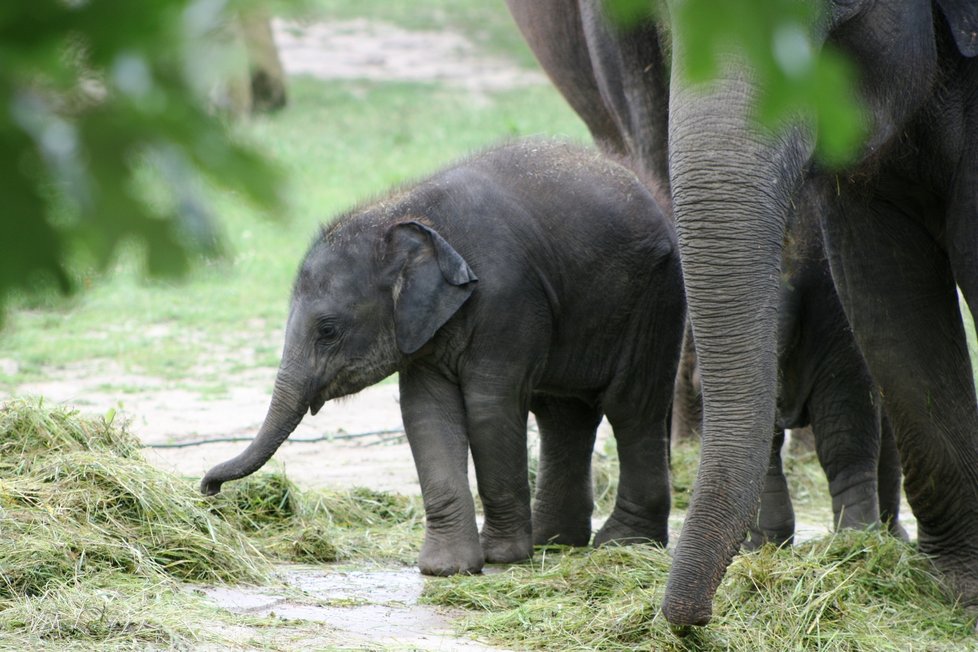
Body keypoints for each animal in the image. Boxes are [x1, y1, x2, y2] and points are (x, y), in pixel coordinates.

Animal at [201, 139, 684, 576]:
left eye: (328, 330)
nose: (208, 489)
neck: (405, 213)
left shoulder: (509, 300)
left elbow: (490, 409)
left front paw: (500, 557)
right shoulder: (423, 328)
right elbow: (425, 414)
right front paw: (445, 568)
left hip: (655, 298)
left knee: (631, 408)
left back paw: (622, 545)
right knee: (563, 415)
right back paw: (555, 542)